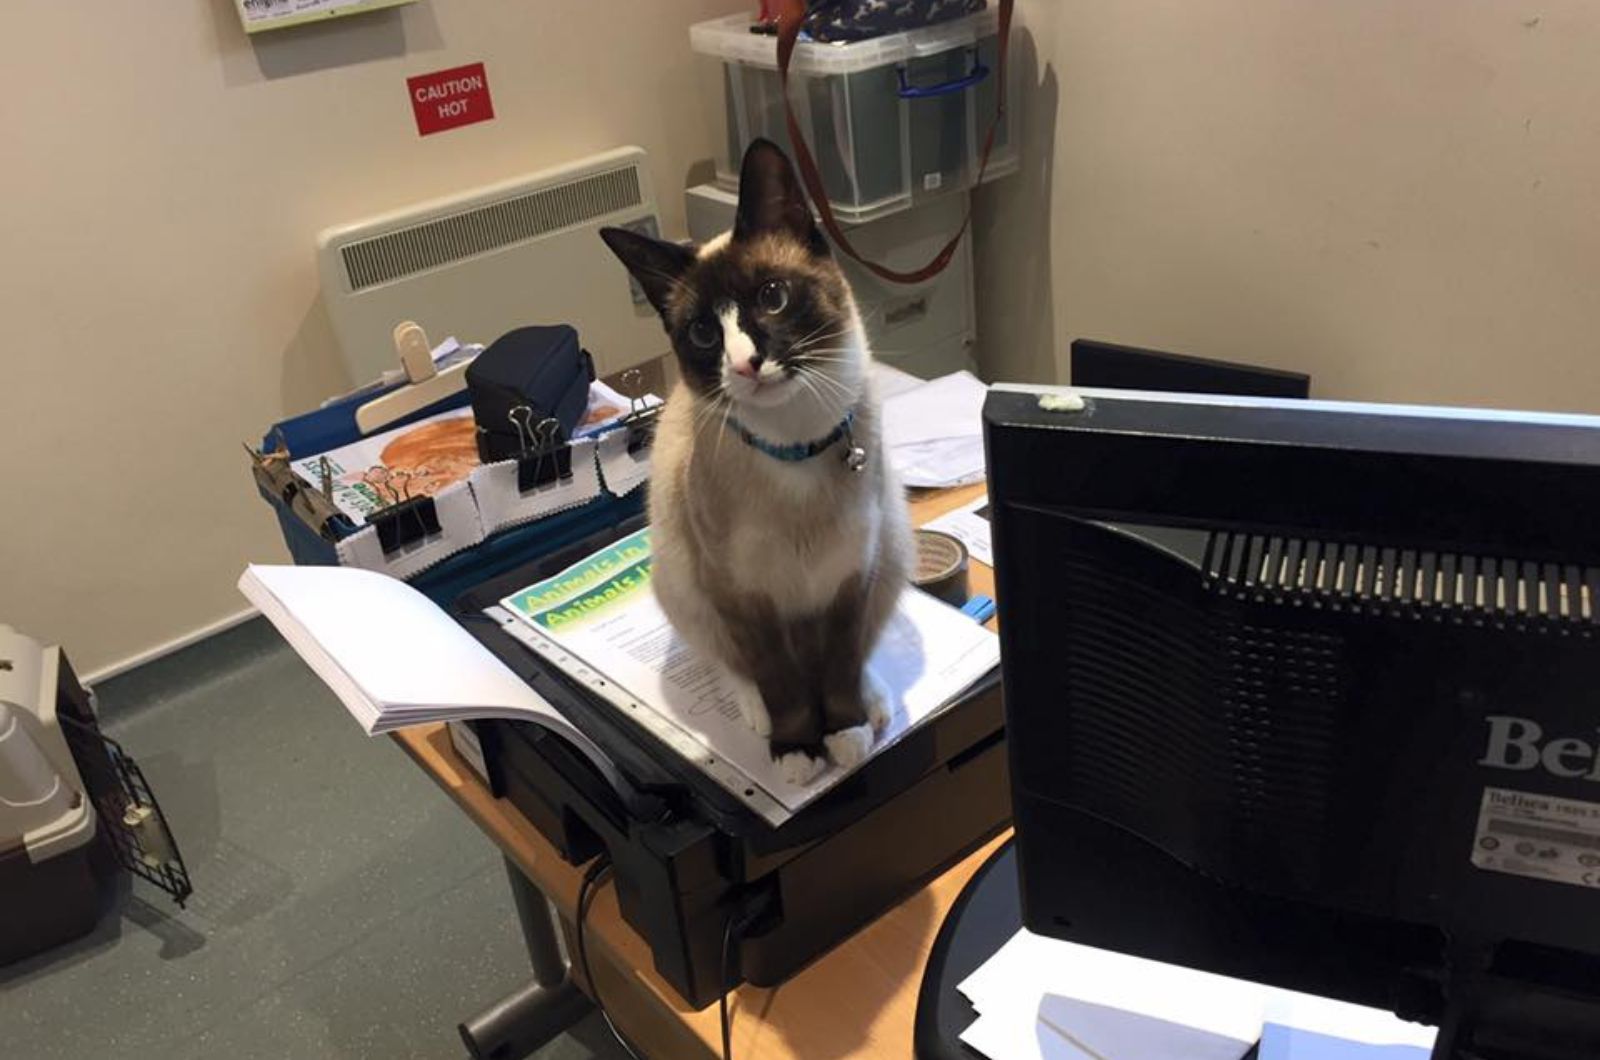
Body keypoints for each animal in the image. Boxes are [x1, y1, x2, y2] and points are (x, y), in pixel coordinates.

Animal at [598, 139, 908, 787]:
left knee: (863, 648)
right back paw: (756, 714)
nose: (745, 364)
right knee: (728, 660)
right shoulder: (742, 593)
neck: (794, 449)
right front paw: (797, 750)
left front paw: (844, 732)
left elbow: (841, 662)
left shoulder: (851, 575)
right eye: (702, 333)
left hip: (894, 547)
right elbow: (779, 680)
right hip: (679, 577)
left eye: (772, 297)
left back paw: (872, 705)